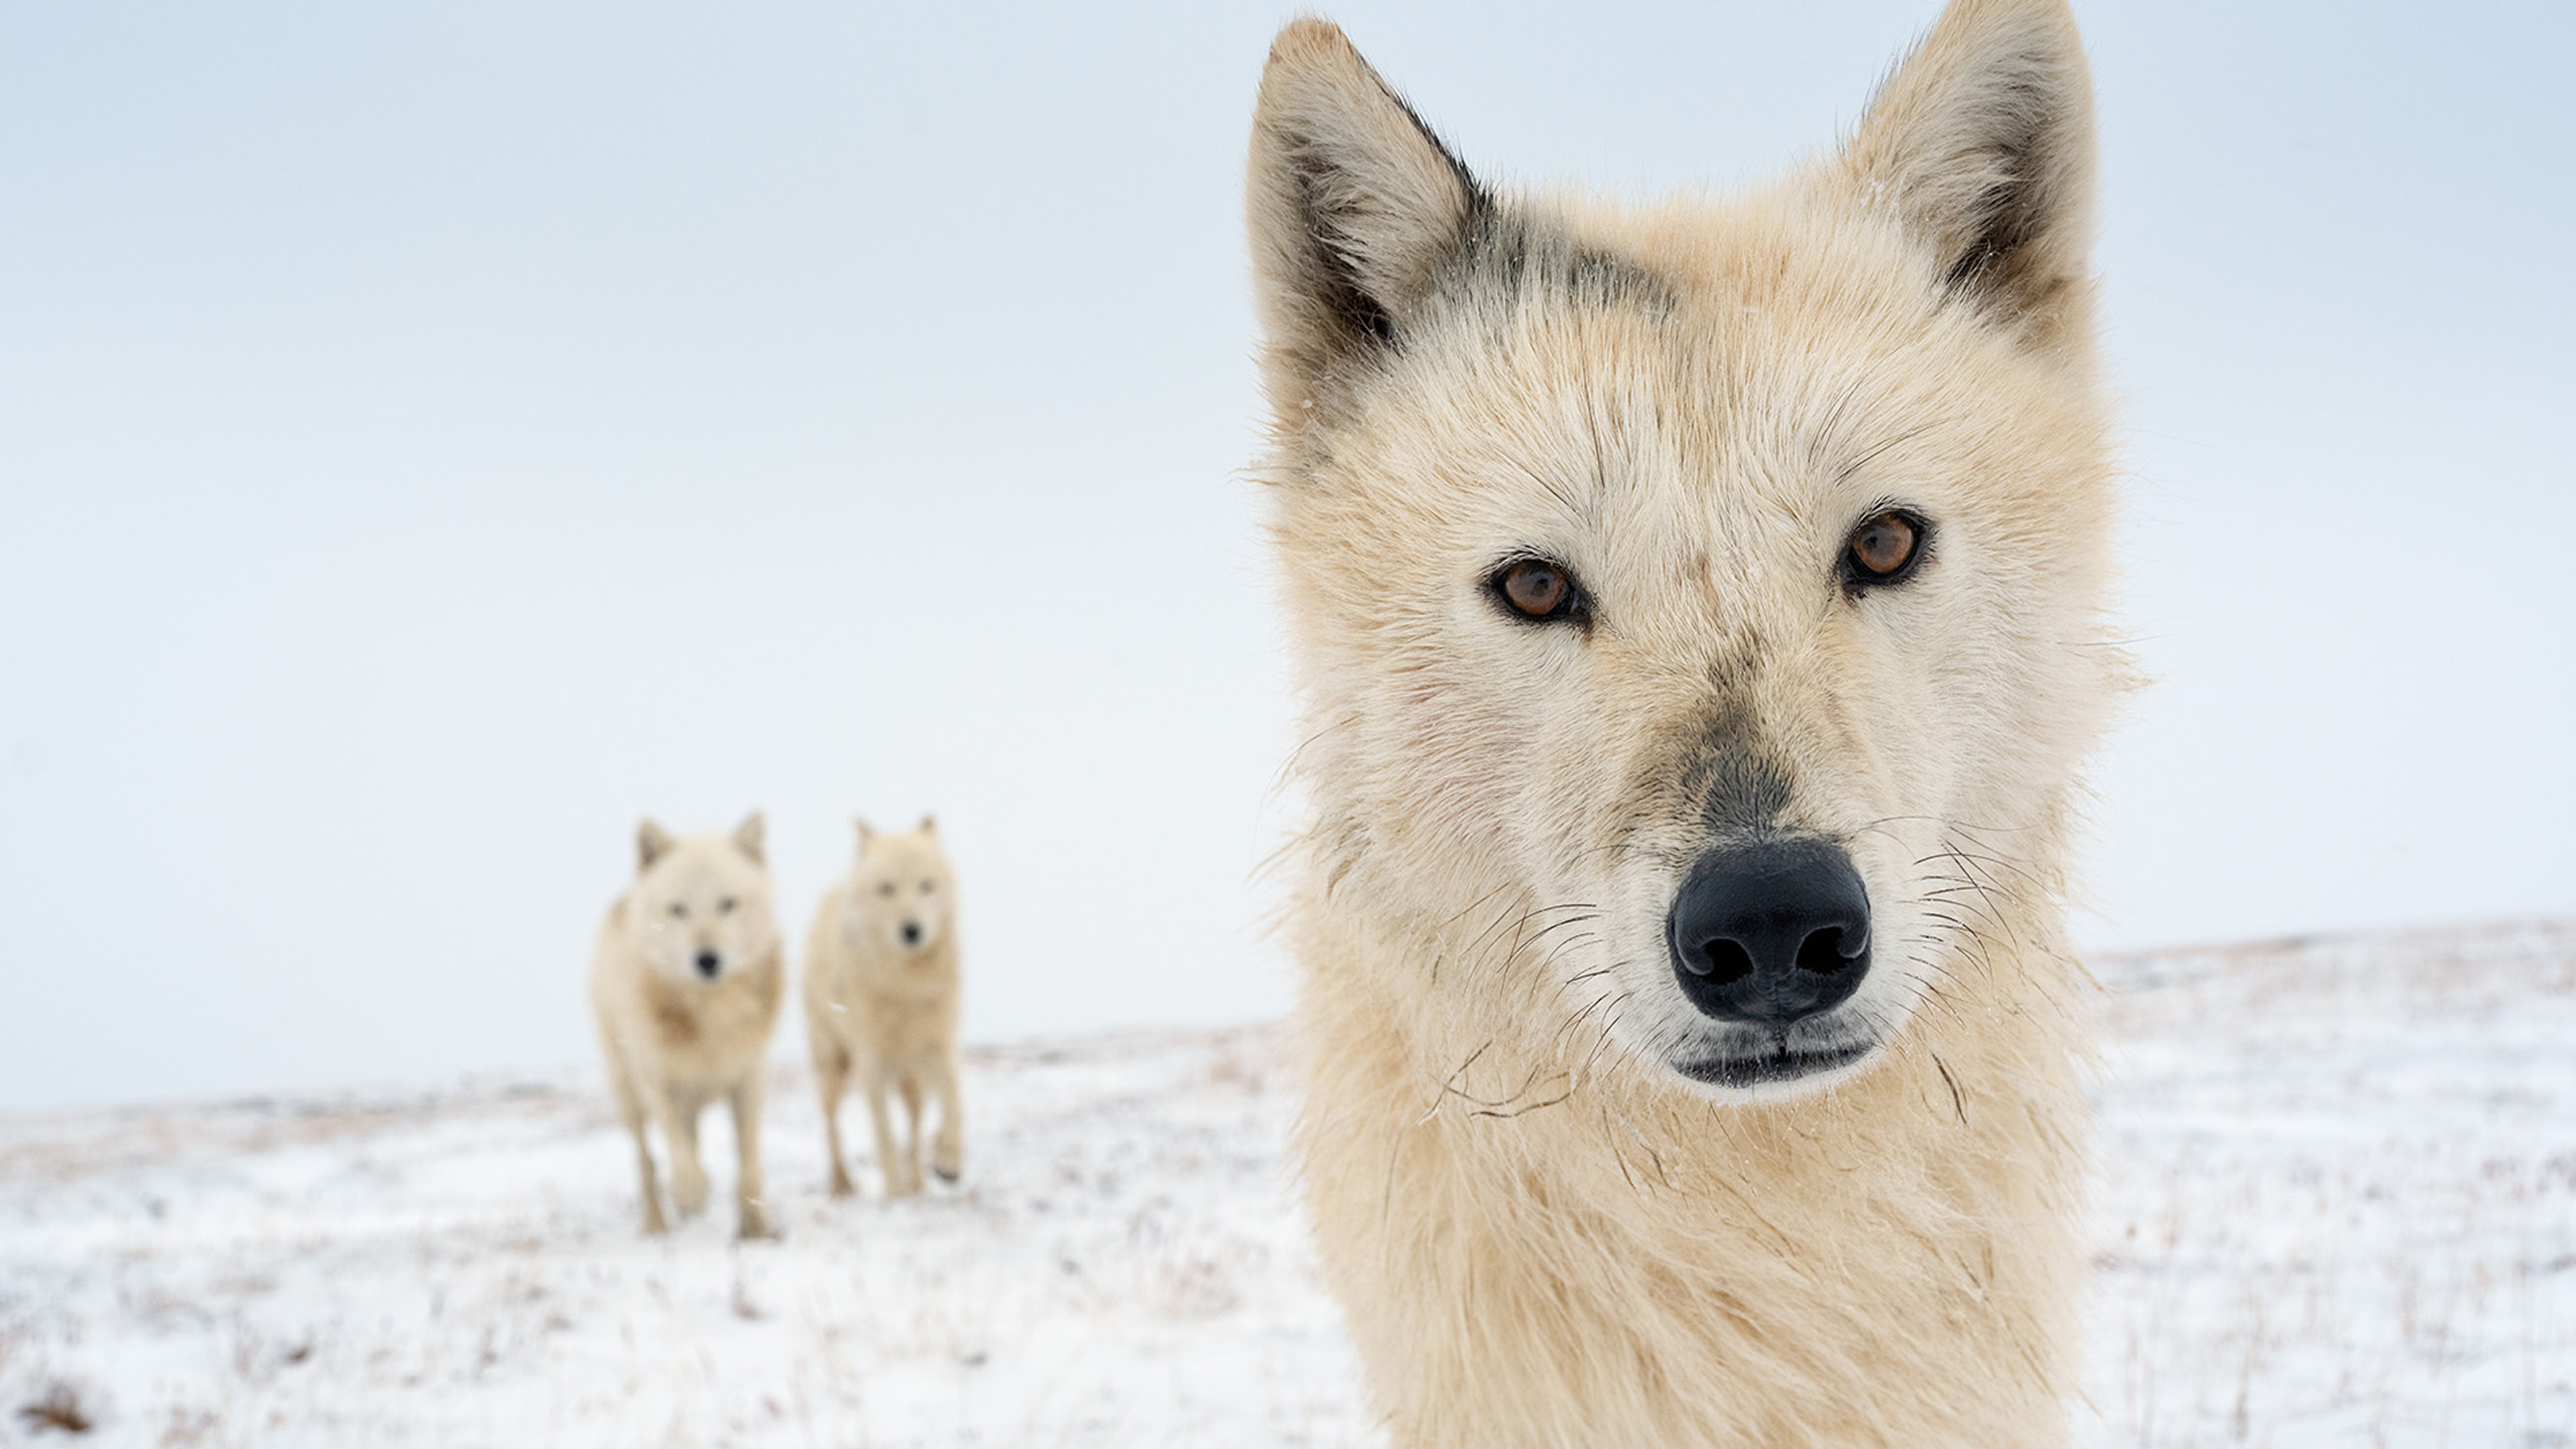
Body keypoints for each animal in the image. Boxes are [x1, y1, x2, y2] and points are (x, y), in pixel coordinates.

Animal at [589, 812, 783, 1239]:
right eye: (678, 909)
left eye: (727, 904)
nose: (707, 960)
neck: (709, 1017)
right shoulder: (656, 1080)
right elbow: (679, 1155)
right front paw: (691, 1197)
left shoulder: (749, 1077)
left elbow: (749, 1161)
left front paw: (756, 1230)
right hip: (627, 1093)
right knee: (647, 1160)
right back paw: (657, 1223)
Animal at [804, 817, 964, 1198]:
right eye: (887, 889)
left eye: (926, 885)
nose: (912, 930)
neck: (903, 987)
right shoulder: (872, 1064)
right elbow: (884, 1135)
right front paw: (894, 1191)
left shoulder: (938, 1048)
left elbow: (954, 1103)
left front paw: (948, 1161)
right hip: (832, 1066)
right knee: (832, 1127)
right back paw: (842, 1185)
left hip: (913, 1080)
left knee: (915, 1125)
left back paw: (918, 1182)